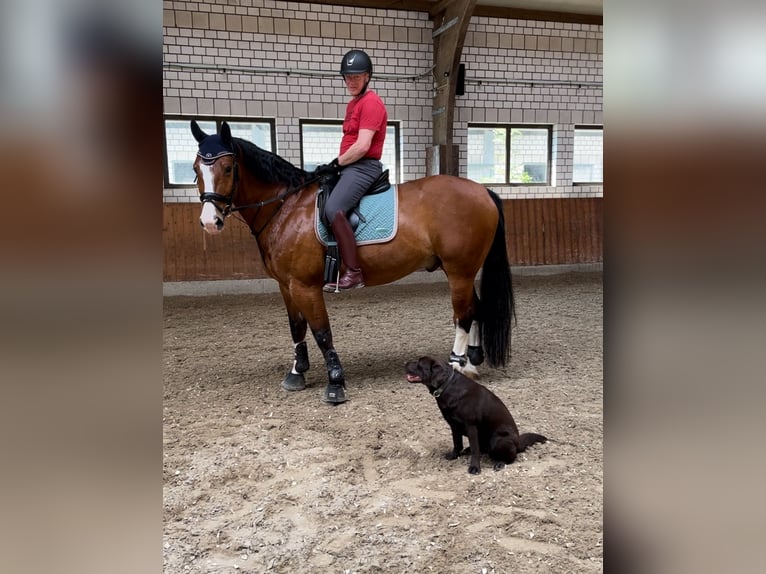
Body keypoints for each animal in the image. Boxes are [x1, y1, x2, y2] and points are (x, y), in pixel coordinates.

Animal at [192, 121, 516, 404]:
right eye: (196, 169)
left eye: (228, 167)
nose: (209, 222)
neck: (286, 207)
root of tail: (482, 190)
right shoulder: (286, 285)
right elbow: (296, 327)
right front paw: (297, 372)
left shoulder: (305, 286)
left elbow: (322, 332)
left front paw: (335, 383)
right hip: (461, 271)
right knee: (476, 308)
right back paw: (472, 362)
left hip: (460, 270)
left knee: (463, 314)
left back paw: (457, 365)